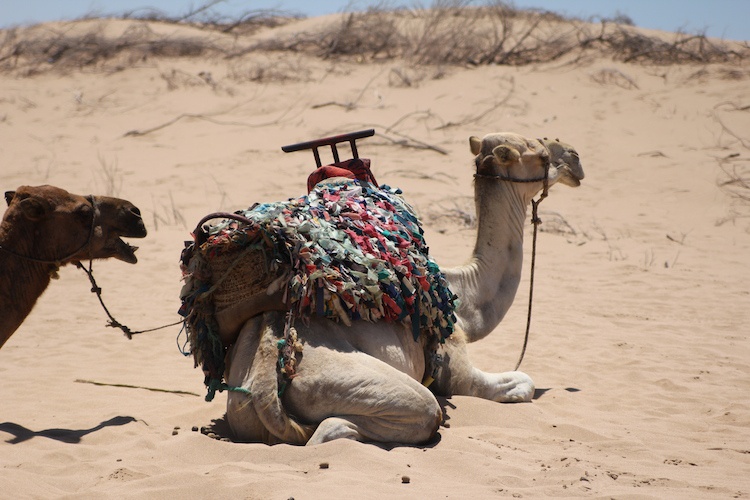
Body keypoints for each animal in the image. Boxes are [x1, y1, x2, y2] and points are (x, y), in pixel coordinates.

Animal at [214, 132, 584, 445]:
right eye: (538, 153)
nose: (575, 157)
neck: (462, 302)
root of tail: (265, 373)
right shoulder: (457, 370)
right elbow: (523, 383)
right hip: (351, 383)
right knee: (385, 419)